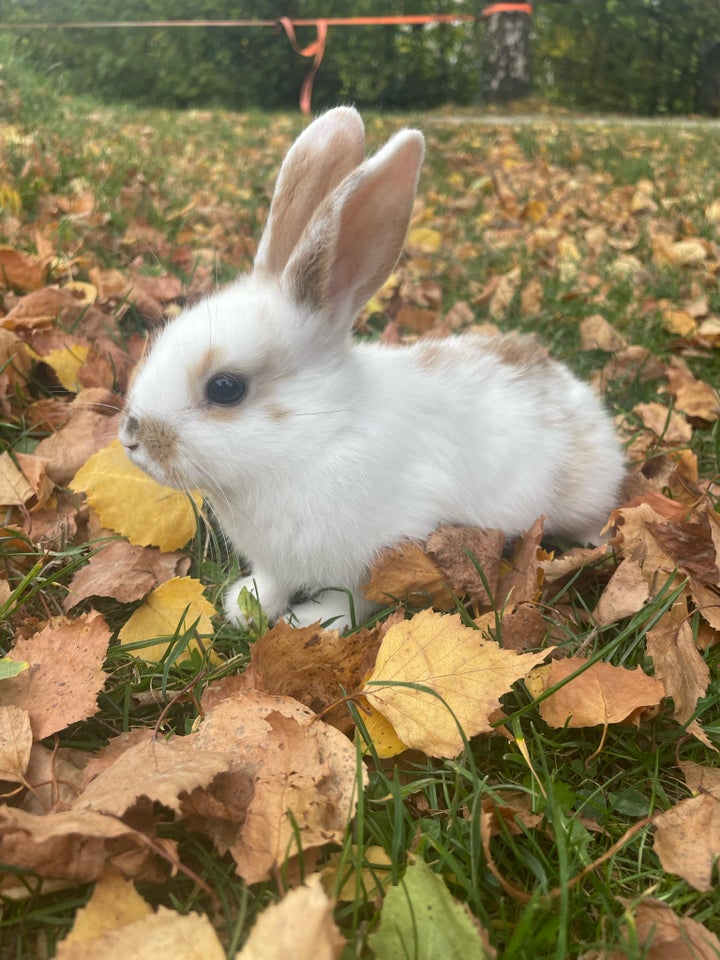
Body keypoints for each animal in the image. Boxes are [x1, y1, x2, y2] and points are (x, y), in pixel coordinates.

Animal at [119, 107, 624, 632]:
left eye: (225, 387)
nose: (131, 438)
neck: (316, 434)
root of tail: (571, 387)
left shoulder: (378, 552)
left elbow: (354, 600)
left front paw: (311, 622)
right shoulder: (277, 559)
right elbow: (272, 580)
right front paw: (245, 605)